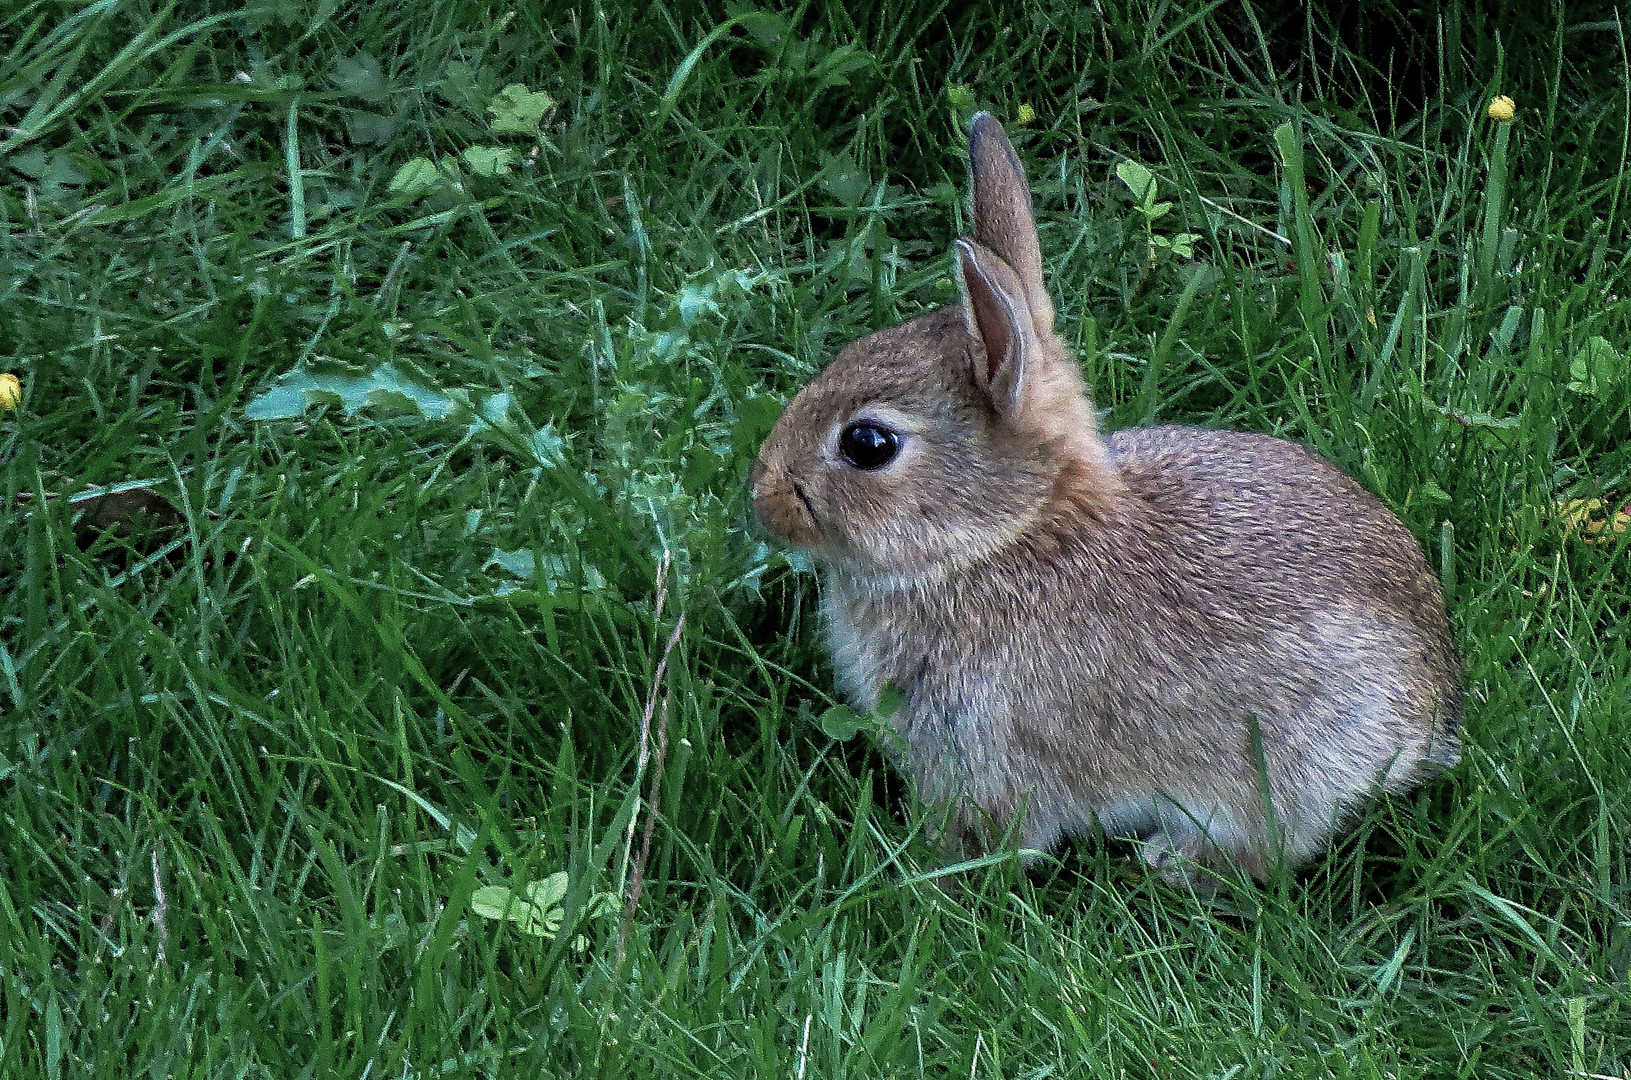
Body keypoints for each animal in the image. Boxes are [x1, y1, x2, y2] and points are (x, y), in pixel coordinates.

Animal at [746, 114, 1461, 887]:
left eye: (868, 444)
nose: (761, 499)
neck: (1002, 538)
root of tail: (1431, 705)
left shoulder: (983, 743)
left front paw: (936, 866)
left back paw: (1171, 860)